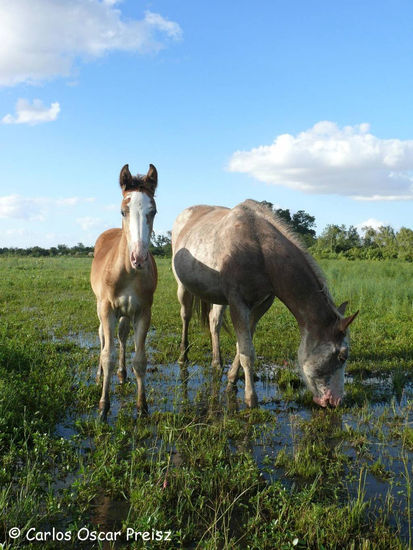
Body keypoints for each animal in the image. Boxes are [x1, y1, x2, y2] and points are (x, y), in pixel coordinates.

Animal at [90, 164, 158, 422]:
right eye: (123, 211)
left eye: (153, 211)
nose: (138, 258)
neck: (129, 273)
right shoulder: (107, 308)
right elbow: (106, 355)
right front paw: (103, 407)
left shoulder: (143, 312)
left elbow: (140, 359)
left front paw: (142, 406)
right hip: (101, 307)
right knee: (103, 336)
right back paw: (99, 374)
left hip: (126, 313)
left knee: (122, 335)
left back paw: (122, 372)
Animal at [171, 201, 358, 408]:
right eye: (342, 356)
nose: (336, 401)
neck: (260, 250)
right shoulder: (238, 303)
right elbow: (246, 352)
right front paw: (251, 398)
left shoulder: (262, 304)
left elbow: (242, 345)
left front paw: (231, 380)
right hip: (182, 287)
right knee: (186, 316)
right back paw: (183, 356)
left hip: (218, 298)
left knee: (214, 323)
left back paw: (217, 363)